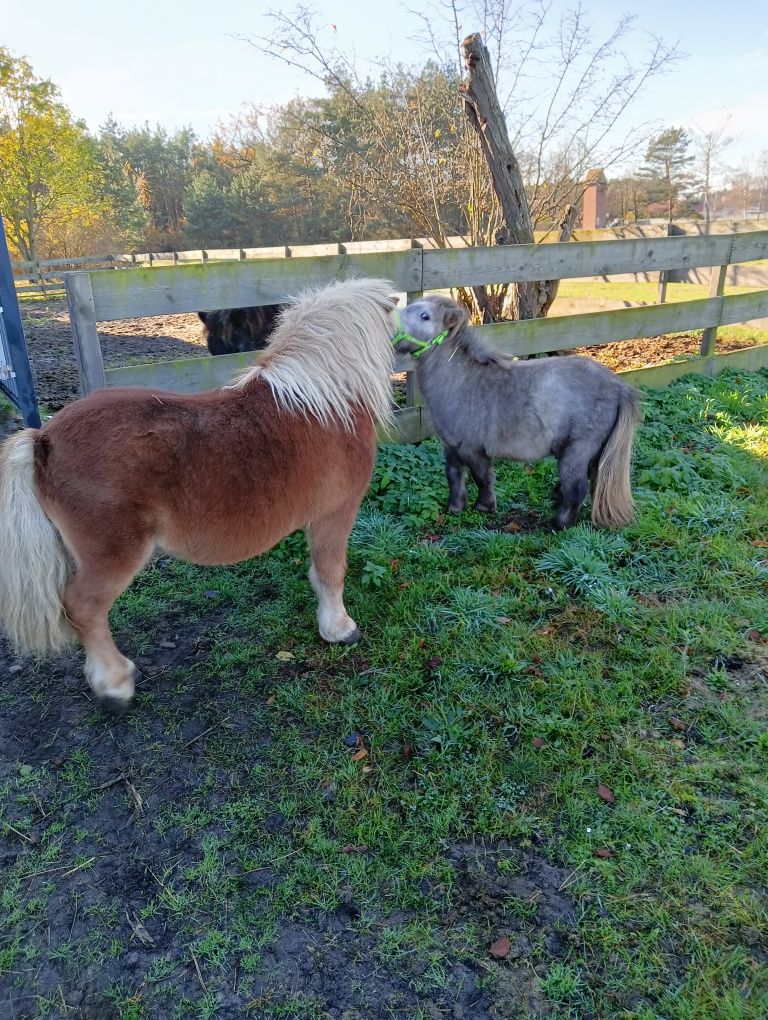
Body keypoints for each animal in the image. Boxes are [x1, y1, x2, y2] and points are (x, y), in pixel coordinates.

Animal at [0, 277, 395, 709]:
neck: (321, 398)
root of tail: (43, 440)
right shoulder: (335, 514)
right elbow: (331, 570)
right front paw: (339, 629)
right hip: (113, 556)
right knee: (83, 609)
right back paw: (115, 684)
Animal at [389, 293, 640, 530]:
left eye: (425, 316)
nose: (390, 329)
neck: (462, 380)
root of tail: (619, 387)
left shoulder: (472, 449)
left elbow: (482, 477)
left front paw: (485, 506)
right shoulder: (451, 446)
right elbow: (454, 476)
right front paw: (455, 508)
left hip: (577, 450)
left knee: (577, 487)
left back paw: (558, 523)